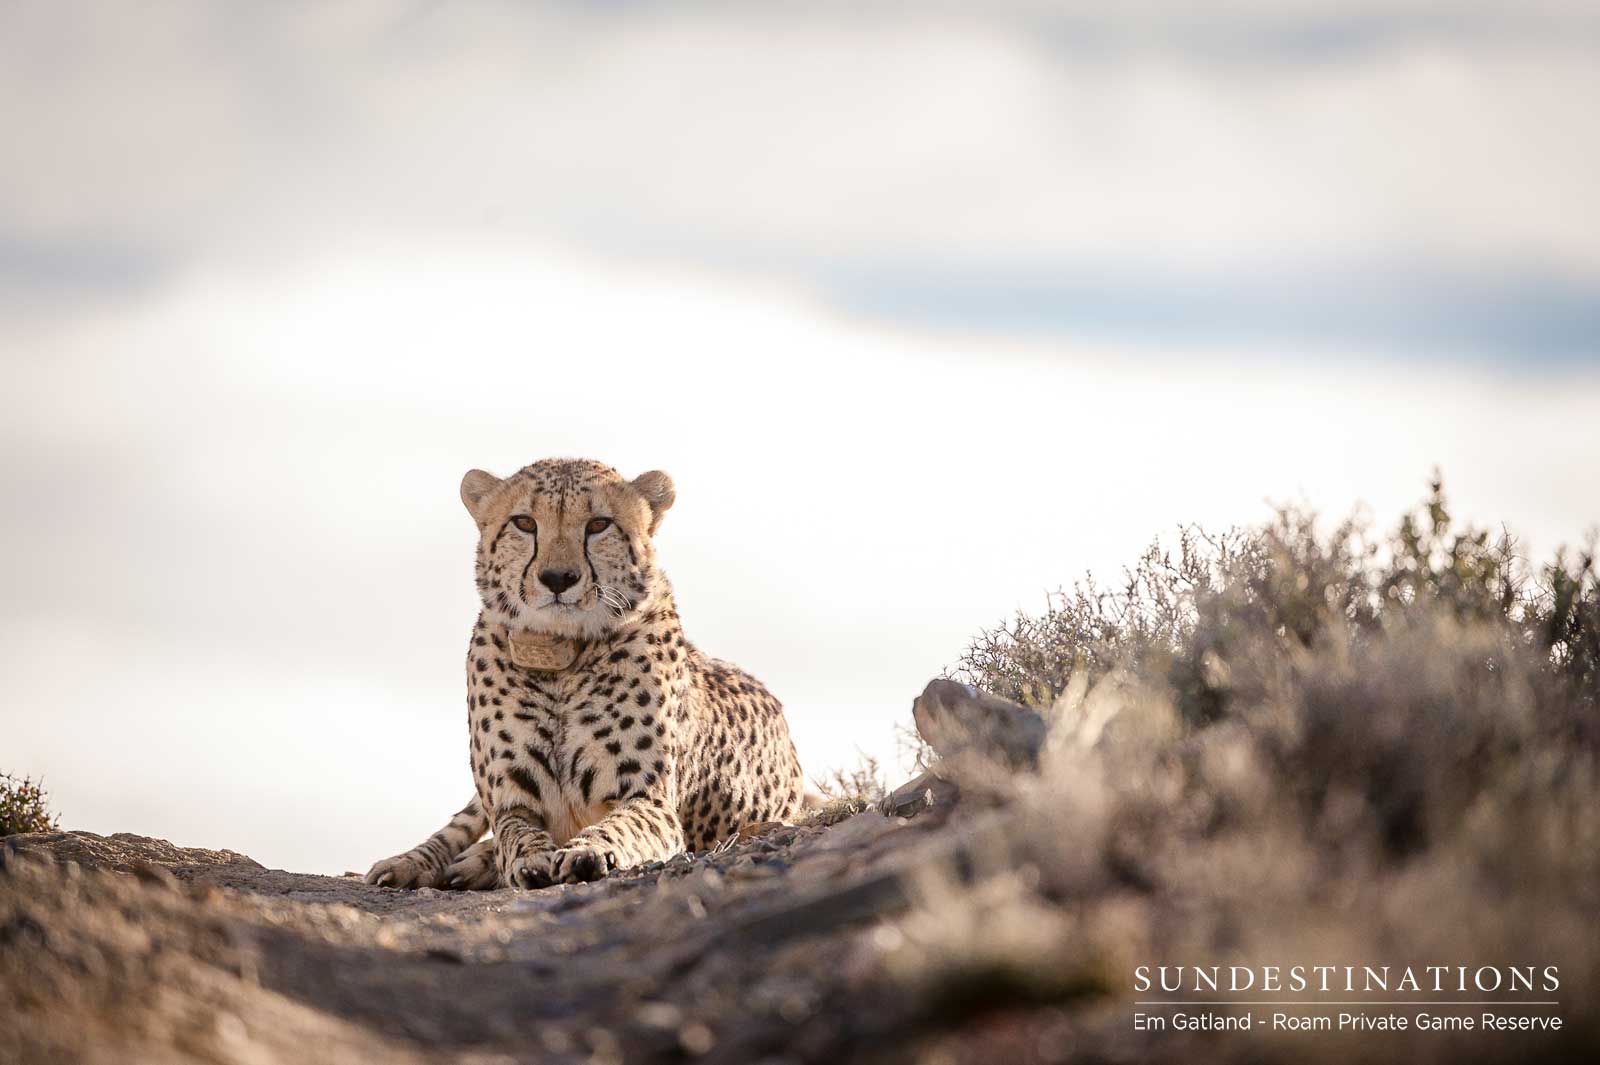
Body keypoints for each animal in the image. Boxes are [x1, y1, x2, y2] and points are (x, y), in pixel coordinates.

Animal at [365, 458, 805, 890]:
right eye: (524, 522)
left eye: (598, 525)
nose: (558, 578)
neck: (558, 658)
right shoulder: (510, 802)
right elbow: (512, 833)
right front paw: (529, 858)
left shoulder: (651, 799)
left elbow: (623, 826)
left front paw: (588, 851)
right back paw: (409, 864)